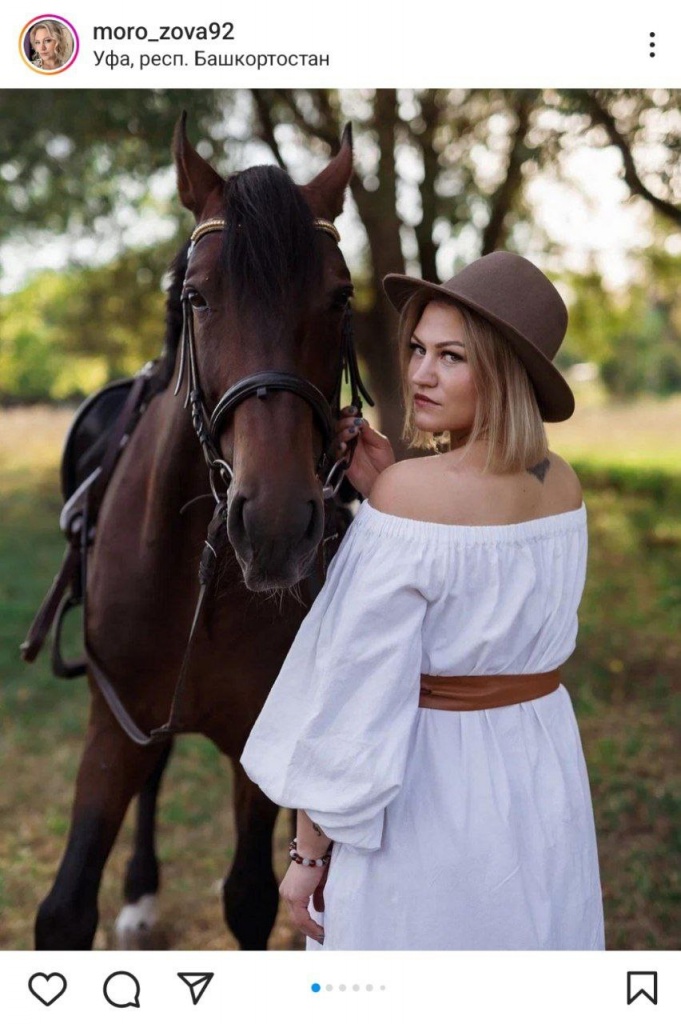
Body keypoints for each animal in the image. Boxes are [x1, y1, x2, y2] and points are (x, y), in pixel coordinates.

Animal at [33, 117, 366, 950]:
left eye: (340, 297)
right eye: (197, 296)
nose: (275, 523)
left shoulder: (254, 737)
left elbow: (248, 896)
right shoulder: (113, 723)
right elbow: (64, 908)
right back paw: (141, 895)